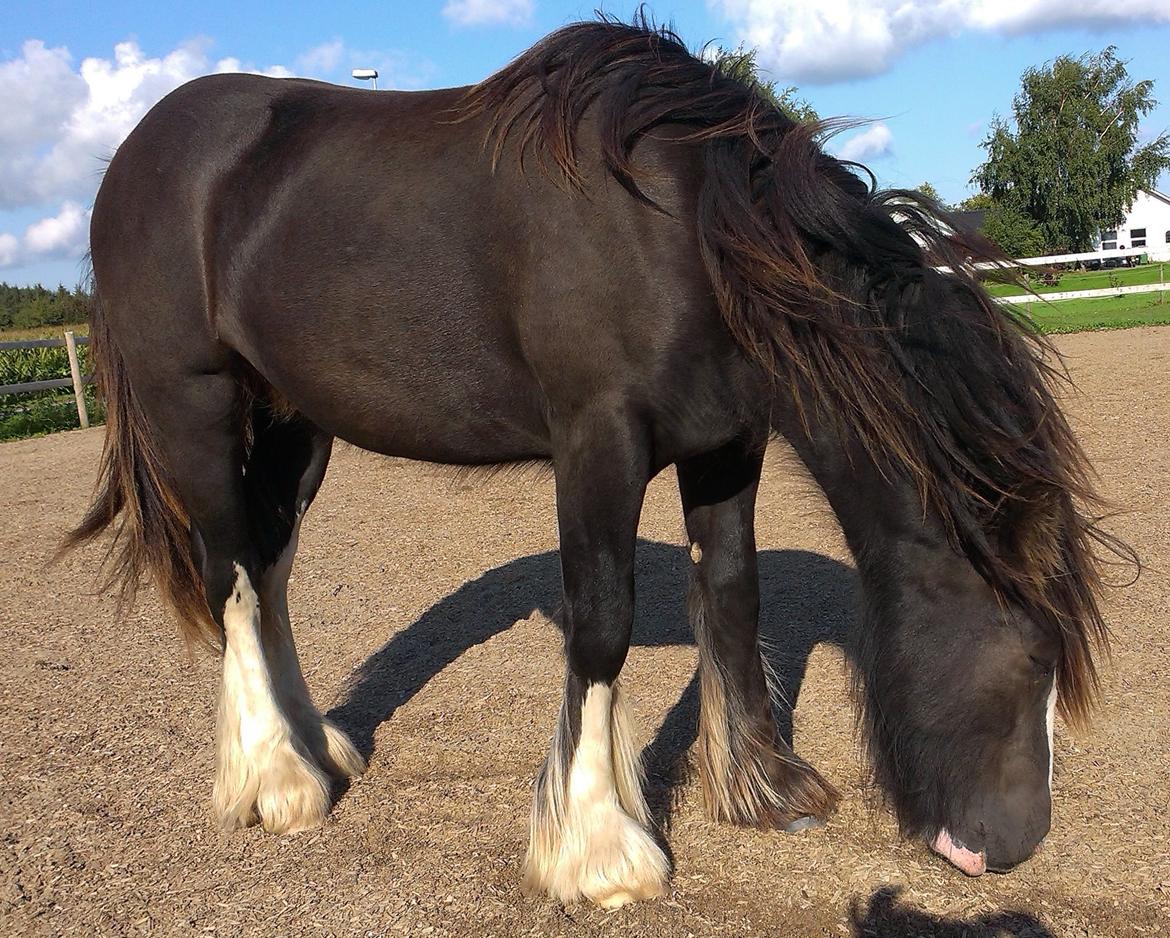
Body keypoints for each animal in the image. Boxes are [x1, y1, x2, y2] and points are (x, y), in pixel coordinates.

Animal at [70, 16, 1113, 907]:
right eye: (1033, 656)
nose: (1013, 846)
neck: (685, 232)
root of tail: (137, 155)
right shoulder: (597, 444)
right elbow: (602, 626)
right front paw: (601, 851)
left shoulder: (725, 449)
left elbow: (731, 599)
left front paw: (764, 791)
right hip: (194, 408)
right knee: (232, 576)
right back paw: (280, 782)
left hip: (297, 420)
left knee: (270, 566)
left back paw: (319, 749)